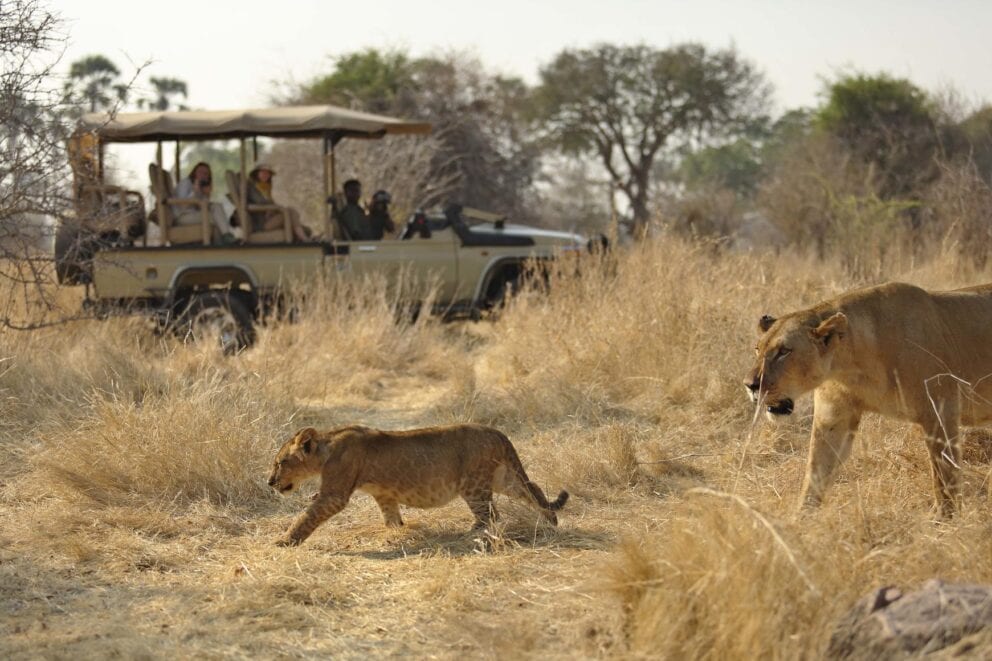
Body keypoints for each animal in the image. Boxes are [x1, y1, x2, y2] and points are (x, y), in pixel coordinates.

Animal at [267, 424, 569, 546]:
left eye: (280, 463)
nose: (269, 482)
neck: (326, 447)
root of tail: (497, 432)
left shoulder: (334, 494)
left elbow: (307, 516)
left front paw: (284, 541)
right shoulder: (384, 494)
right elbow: (391, 517)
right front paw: (396, 533)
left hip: (474, 485)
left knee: (491, 514)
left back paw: (469, 535)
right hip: (503, 478)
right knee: (534, 490)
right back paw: (550, 521)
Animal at [744, 281, 992, 517]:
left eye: (784, 351)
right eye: (757, 349)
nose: (750, 385)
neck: (851, 366)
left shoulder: (940, 411)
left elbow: (944, 476)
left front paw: (944, 520)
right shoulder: (834, 418)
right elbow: (816, 472)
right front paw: (797, 522)